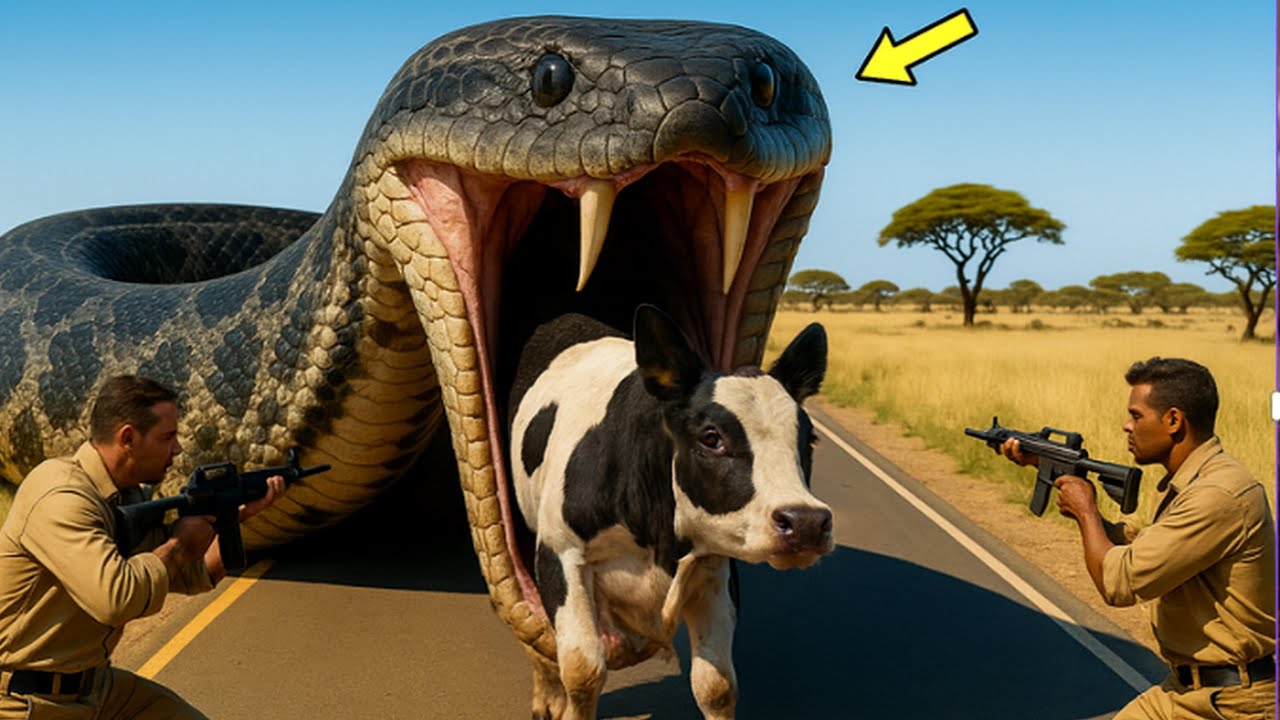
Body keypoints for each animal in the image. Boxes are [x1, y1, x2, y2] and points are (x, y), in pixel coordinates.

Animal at [507, 305, 832, 720]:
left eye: (809, 439)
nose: (805, 522)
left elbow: (716, 686)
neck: (659, 536)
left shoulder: (714, 570)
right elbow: (582, 672)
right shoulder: (560, 555)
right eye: (711, 437)